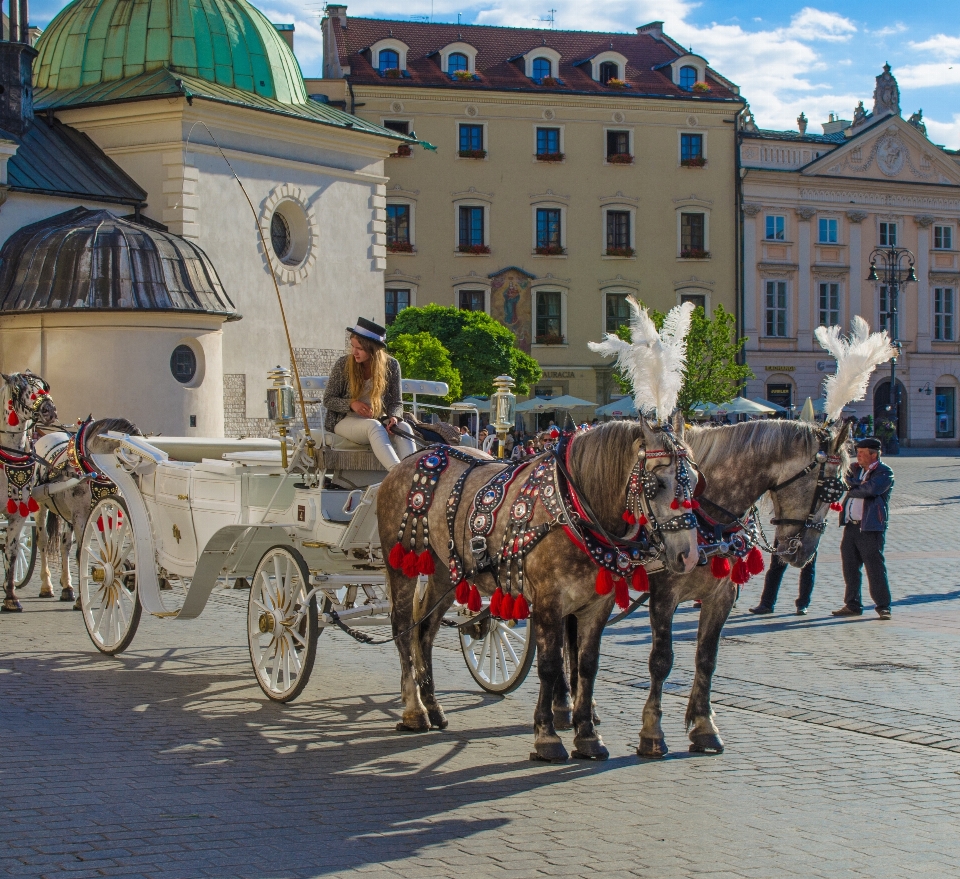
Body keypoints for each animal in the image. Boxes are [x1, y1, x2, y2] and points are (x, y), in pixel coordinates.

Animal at [378, 420, 700, 764]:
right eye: (657, 483)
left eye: (696, 481)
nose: (690, 556)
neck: (571, 507)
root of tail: (414, 457)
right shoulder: (548, 602)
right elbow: (549, 665)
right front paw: (547, 737)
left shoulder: (597, 605)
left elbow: (587, 666)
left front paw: (588, 736)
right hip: (402, 565)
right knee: (402, 629)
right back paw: (415, 710)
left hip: (443, 571)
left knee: (424, 631)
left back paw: (433, 705)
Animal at [560, 418, 852, 756]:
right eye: (832, 488)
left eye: (842, 491)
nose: (804, 552)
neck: (707, 521)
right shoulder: (664, 596)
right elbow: (661, 661)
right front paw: (652, 733)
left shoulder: (722, 596)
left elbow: (707, 658)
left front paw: (704, 726)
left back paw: (580, 706)